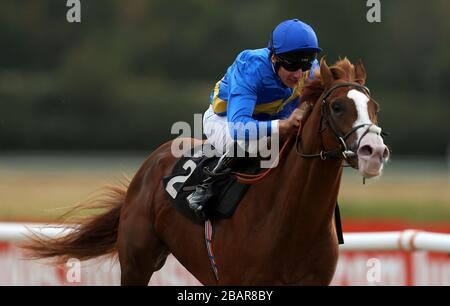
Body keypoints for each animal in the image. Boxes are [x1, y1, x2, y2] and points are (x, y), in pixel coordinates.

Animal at [23, 57, 390, 284]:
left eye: (374, 106)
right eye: (338, 106)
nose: (374, 152)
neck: (294, 219)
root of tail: (151, 163)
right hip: (137, 260)